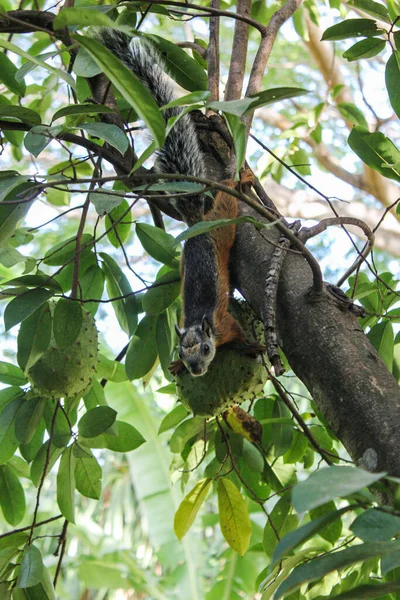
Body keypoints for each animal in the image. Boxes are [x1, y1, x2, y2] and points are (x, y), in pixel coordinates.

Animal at [97, 31, 264, 376]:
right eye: (183, 353)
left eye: (206, 349)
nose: (195, 369)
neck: (203, 324)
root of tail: (197, 224)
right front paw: (174, 366)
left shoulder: (225, 324)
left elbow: (239, 335)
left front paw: (250, 346)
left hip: (223, 222)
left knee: (227, 200)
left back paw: (239, 182)